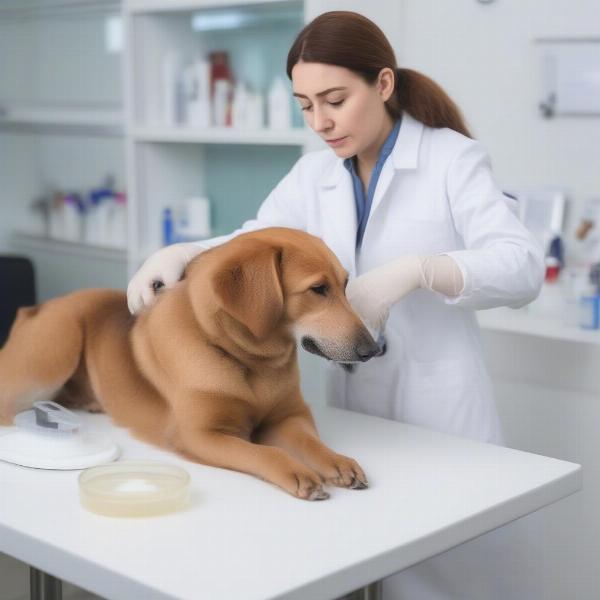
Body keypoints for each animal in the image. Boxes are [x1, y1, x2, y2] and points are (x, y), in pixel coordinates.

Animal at [0, 227, 380, 500]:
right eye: (318, 289)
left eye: (344, 285)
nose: (373, 349)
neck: (250, 362)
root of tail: (35, 308)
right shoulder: (201, 435)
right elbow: (262, 453)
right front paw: (296, 471)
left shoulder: (289, 416)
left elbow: (311, 443)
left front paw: (335, 460)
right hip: (58, 342)